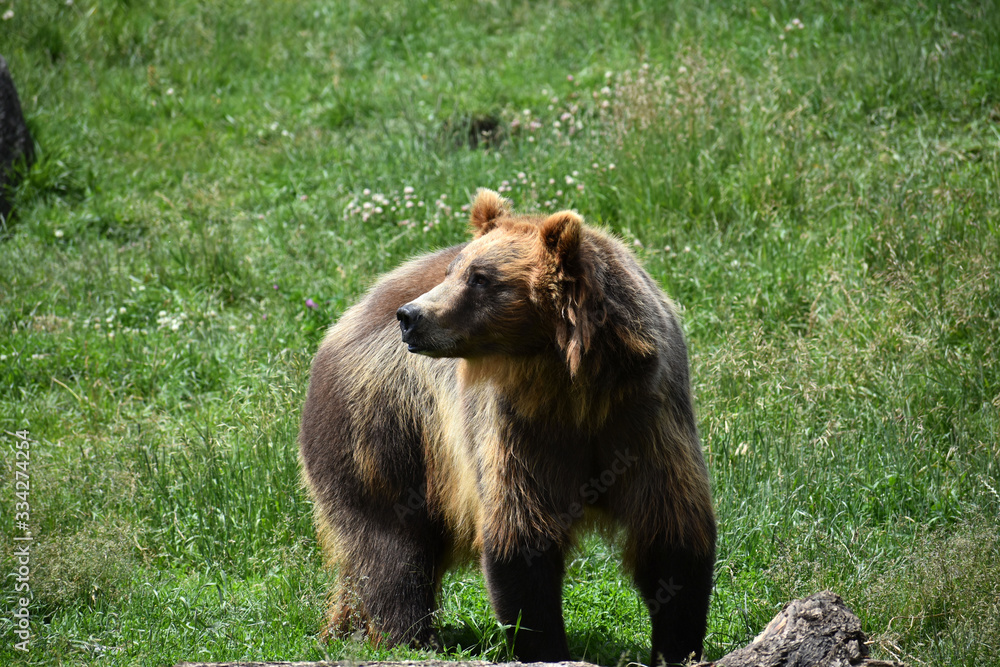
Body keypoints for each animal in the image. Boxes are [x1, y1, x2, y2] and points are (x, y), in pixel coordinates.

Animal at [299, 188, 716, 665]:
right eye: (455, 269)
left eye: (479, 278)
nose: (411, 315)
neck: (572, 387)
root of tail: (341, 324)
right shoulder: (514, 430)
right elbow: (519, 535)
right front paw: (546, 646)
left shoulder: (645, 417)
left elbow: (672, 533)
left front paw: (678, 647)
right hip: (382, 428)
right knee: (389, 545)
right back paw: (405, 636)